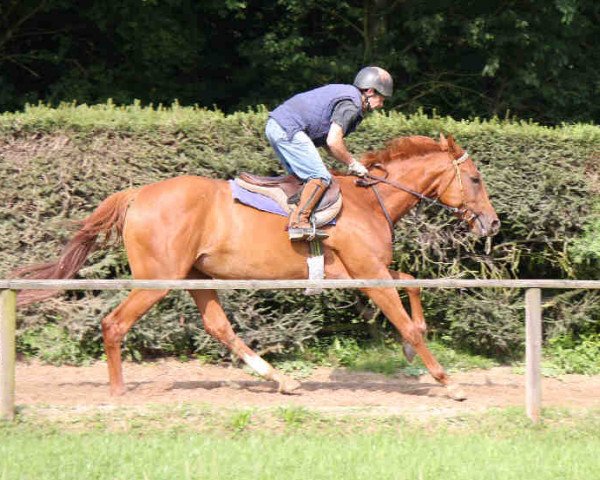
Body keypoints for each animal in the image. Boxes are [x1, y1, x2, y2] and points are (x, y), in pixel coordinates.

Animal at [18, 133, 500, 400]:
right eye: (476, 179)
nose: (492, 222)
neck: (371, 198)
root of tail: (136, 194)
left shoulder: (367, 271)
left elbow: (413, 286)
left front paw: (411, 351)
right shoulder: (371, 275)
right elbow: (408, 323)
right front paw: (447, 381)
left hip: (196, 278)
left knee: (219, 327)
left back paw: (280, 380)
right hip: (158, 280)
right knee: (114, 323)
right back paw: (118, 391)